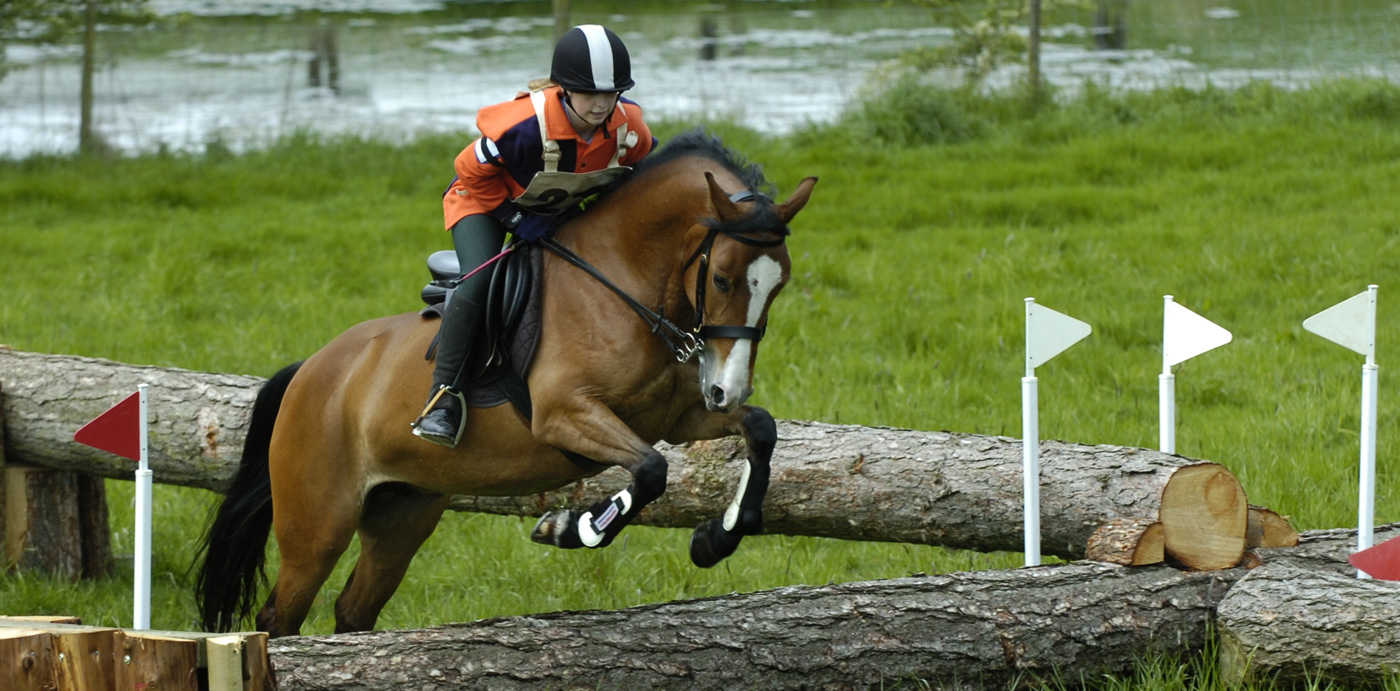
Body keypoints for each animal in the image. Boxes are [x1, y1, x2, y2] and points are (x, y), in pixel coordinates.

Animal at [191, 129, 817, 637]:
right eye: (722, 278)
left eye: (779, 285)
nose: (727, 388)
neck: (624, 285)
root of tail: (310, 371)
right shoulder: (563, 415)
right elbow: (649, 470)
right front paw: (571, 528)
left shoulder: (678, 418)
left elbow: (761, 431)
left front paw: (718, 537)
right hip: (318, 525)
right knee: (278, 616)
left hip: (402, 513)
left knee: (353, 611)